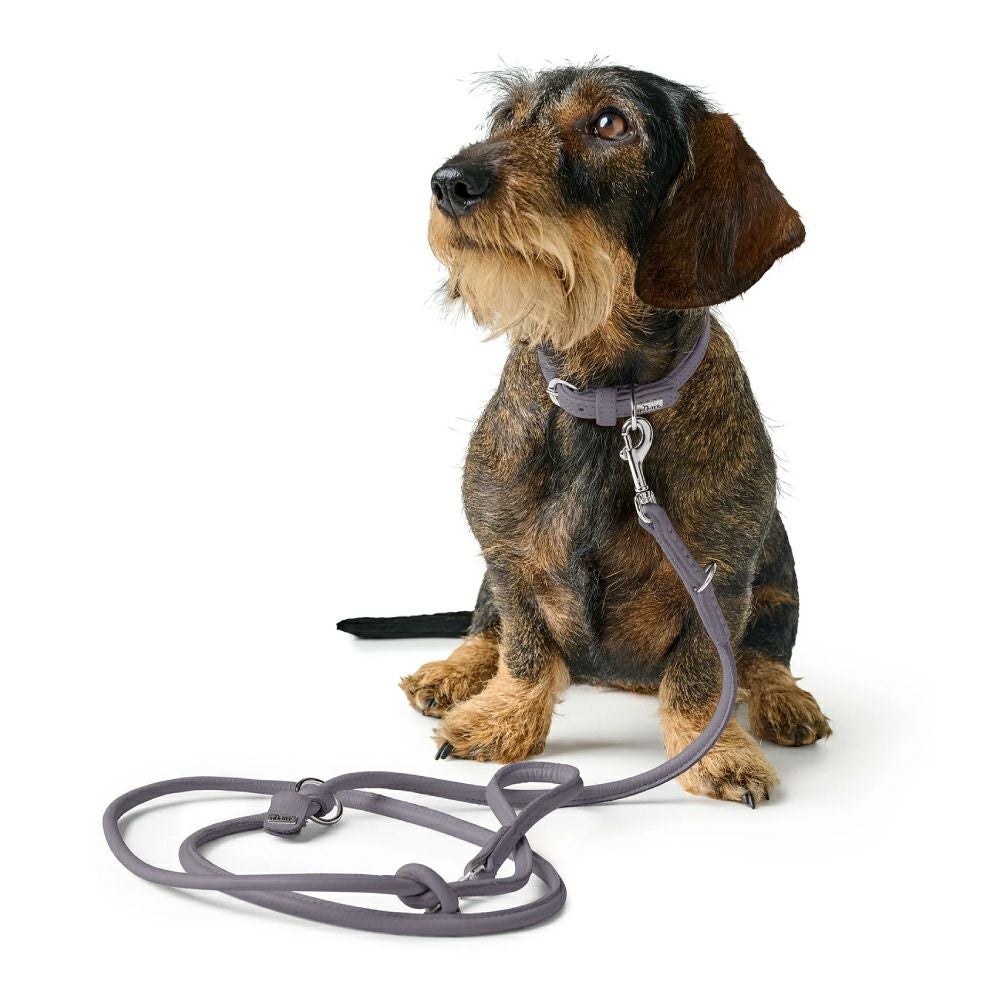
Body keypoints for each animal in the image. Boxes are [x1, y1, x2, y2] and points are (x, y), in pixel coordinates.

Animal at [343, 65, 830, 806]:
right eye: (506, 118)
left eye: (609, 124)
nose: (450, 182)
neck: (608, 404)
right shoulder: (507, 561)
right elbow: (523, 648)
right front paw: (502, 719)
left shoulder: (719, 579)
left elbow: (702, 676)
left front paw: (715, 752)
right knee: (483, 628)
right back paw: (453, 672)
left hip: (778, 573)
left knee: (763, 655)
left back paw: (781, 698)